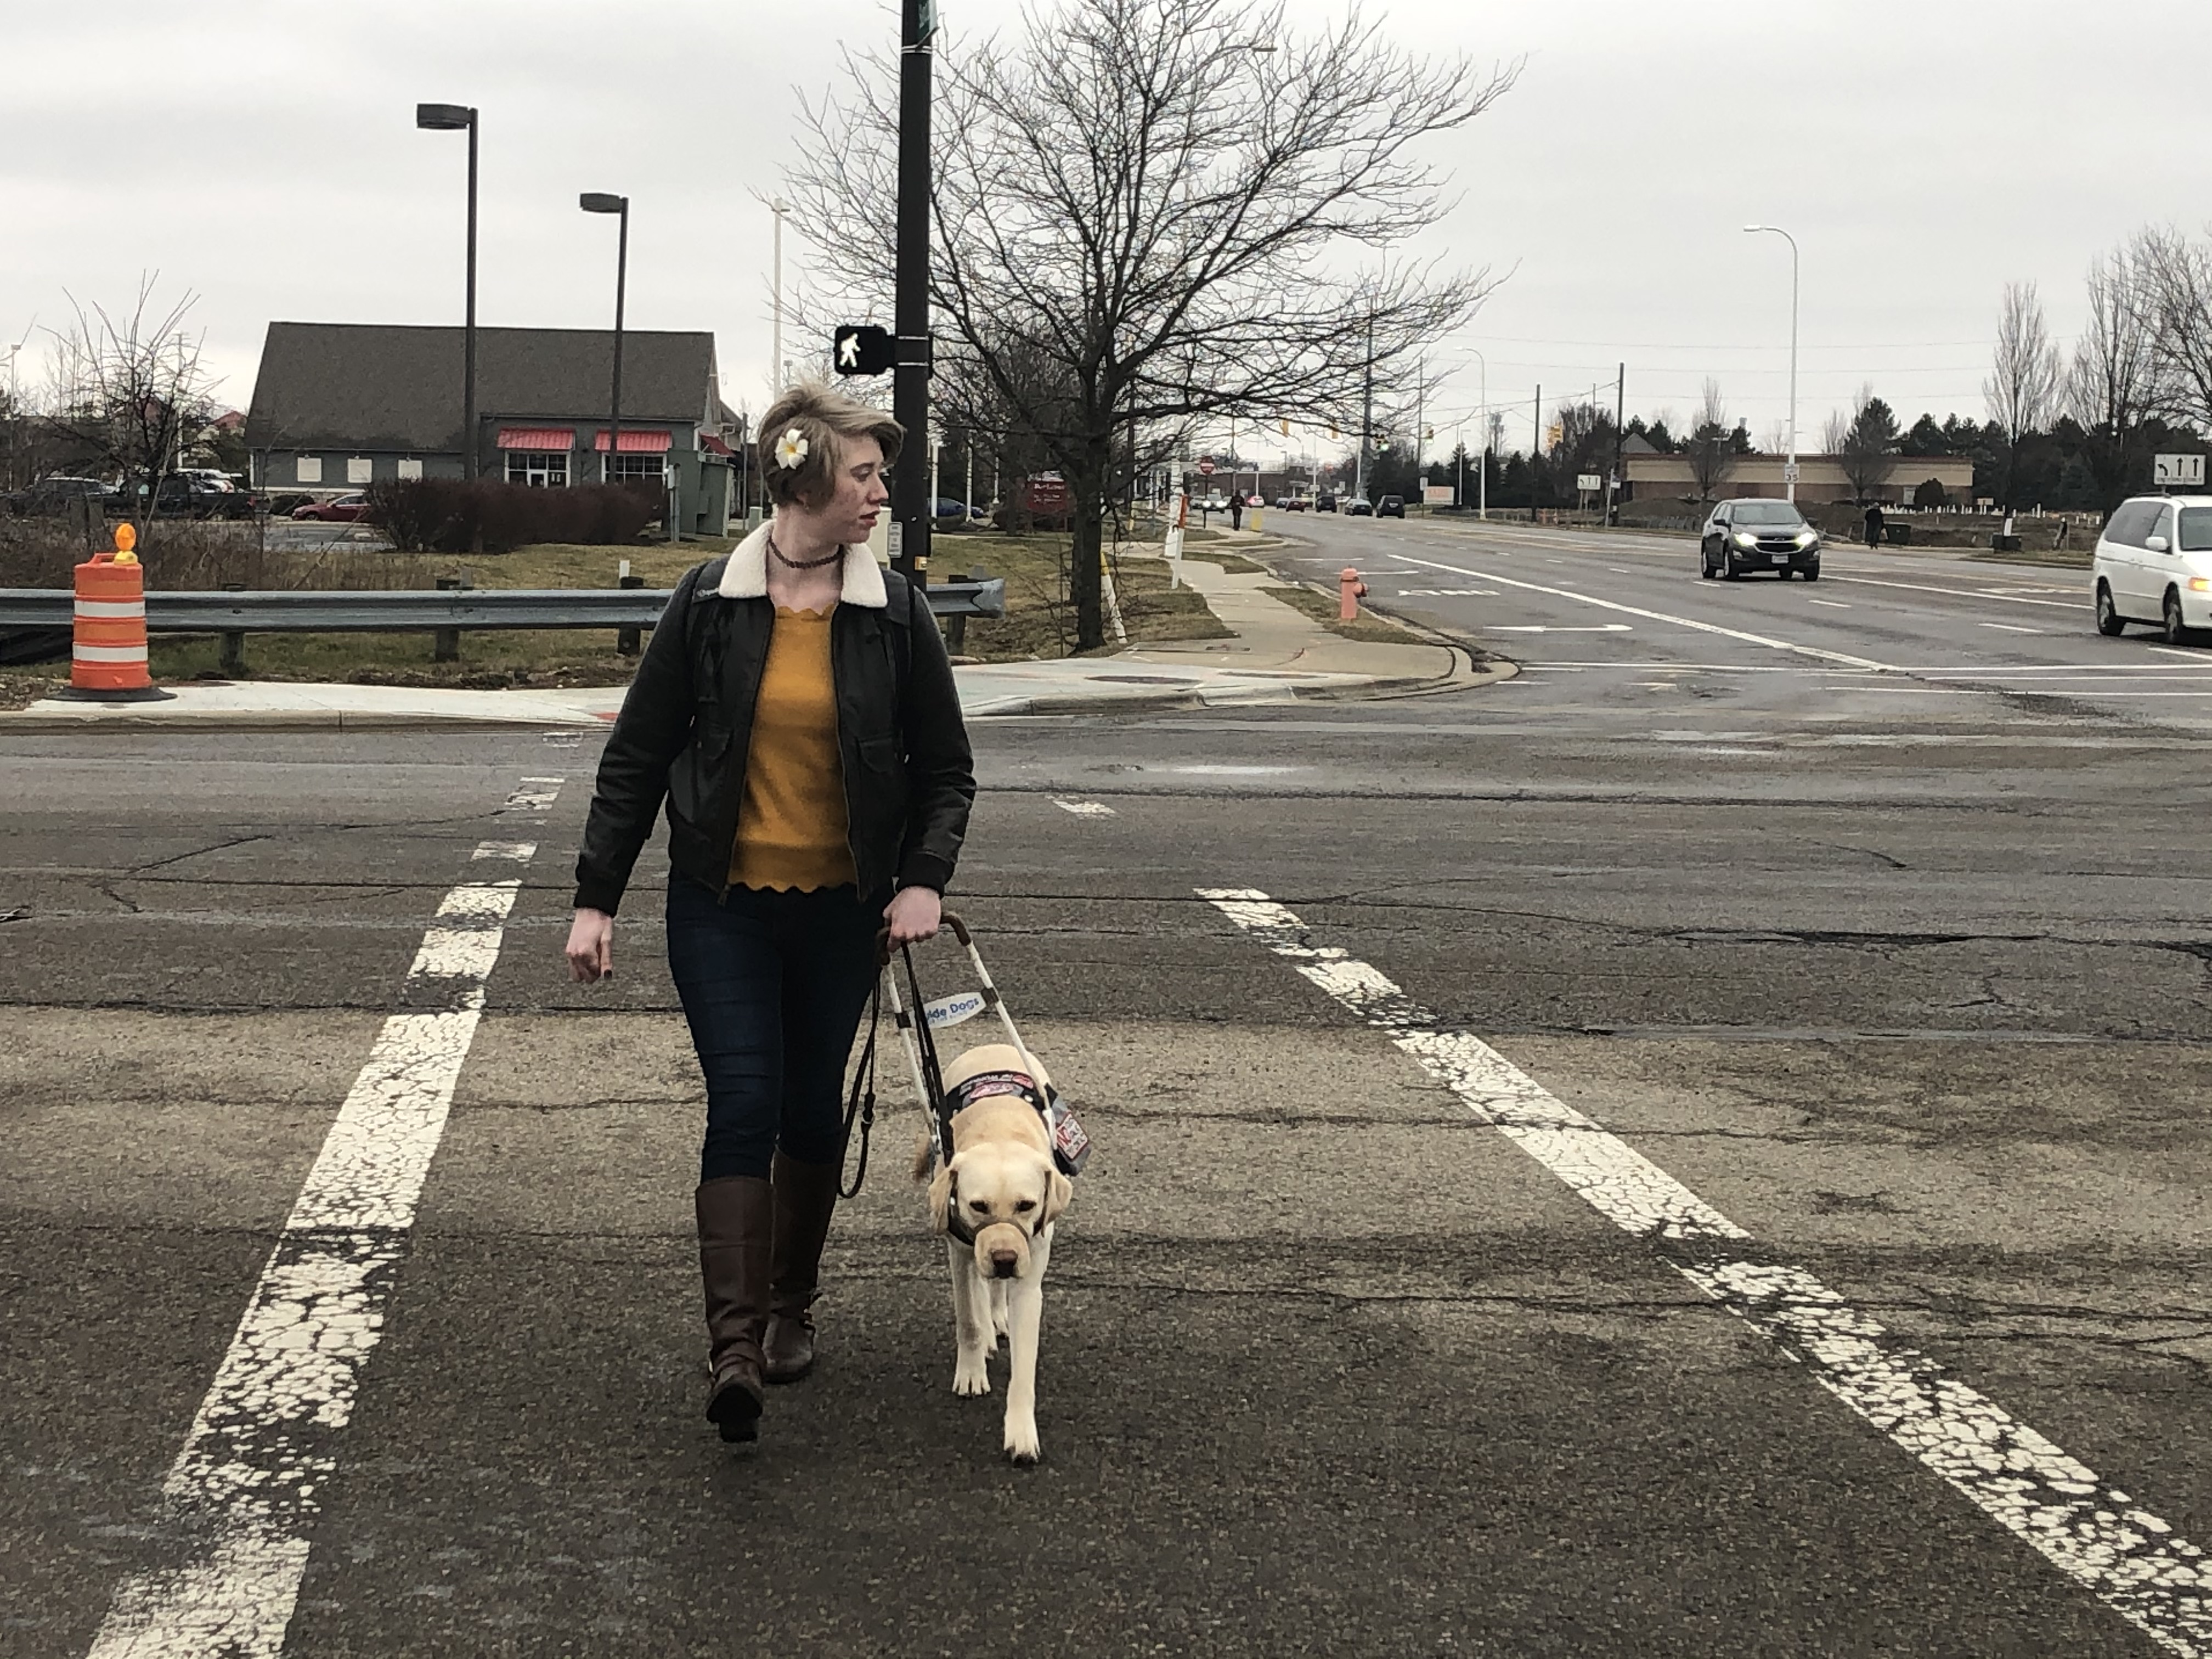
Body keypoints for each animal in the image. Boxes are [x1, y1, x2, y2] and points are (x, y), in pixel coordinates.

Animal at [916, 1044, 1070, 1460]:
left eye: (1027, 1205)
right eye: (978, 1205)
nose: (1004, 1259)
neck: (999, 1127)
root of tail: (990, 1046)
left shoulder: (1029, 1279)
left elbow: (1024, 1367)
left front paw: (1021, 1433)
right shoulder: (958, 1251)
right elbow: (968, 1318)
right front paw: (971, 1372)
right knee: (978, 1286)